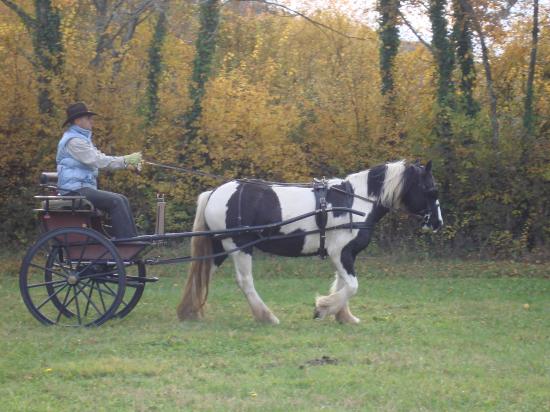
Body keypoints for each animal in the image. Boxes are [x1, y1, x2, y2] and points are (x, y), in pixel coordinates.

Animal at [177, 159, 444, 324]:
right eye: (431, 191)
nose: (438, 223)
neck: (355, 201)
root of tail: (213, 193)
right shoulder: (341, 253)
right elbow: (352, 286)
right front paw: (323, 308)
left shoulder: (344, 255)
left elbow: (342, 285)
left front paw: (343, 316)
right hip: (239, 246)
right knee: (245, 282)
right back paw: (266, 317)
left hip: (219, 247)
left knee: (202, 274)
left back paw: (189, 311)